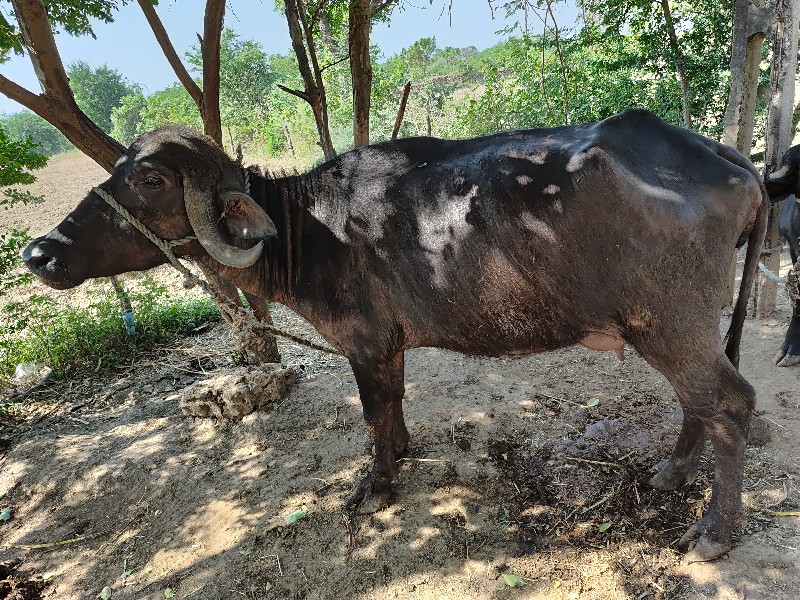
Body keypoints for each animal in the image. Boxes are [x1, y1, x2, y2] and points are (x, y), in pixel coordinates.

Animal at [20, 110, 768, 560]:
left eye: (149, 179)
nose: (38, 253)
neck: (308, 228)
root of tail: (727, 159)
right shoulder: (390, 345)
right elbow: (396, 404)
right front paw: (403, 452)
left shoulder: (365, 343)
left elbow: (373, 412)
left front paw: (375, 486)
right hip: (676, 332)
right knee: (701, 403)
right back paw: (672, 474)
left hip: (671, 326)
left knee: (730, 403)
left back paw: (713, 530)